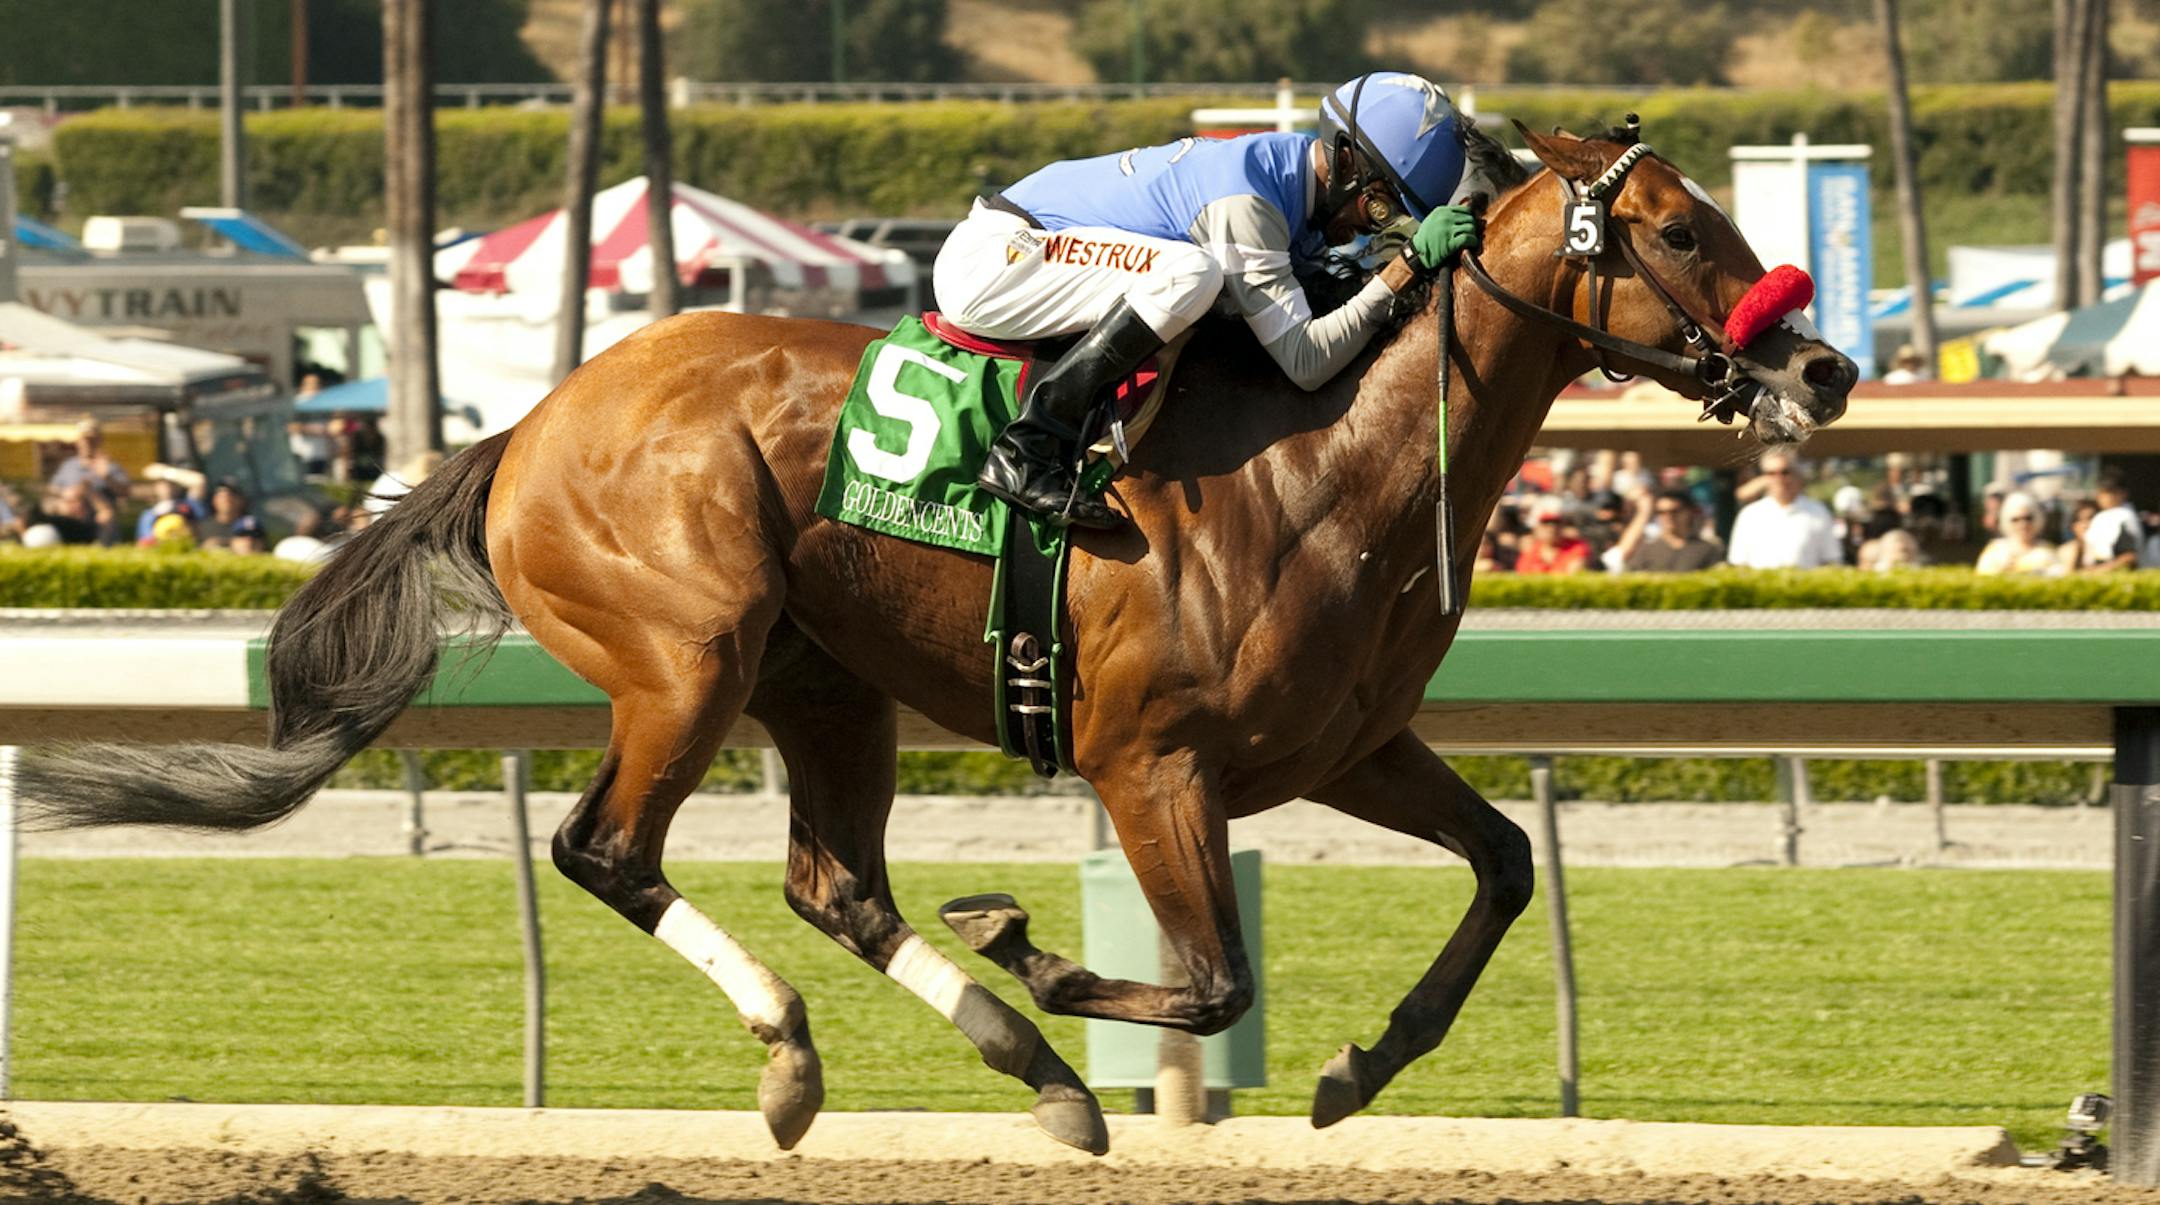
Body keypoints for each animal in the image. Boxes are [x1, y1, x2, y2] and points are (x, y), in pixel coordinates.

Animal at [16, 120, 1854, 1155]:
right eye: (1679, 230)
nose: (1826, 365)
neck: (1329, 462)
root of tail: (528, 424)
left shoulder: (1349, 748)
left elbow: (1504, 868)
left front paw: (1354, 1066)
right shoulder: (1150, 764)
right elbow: (1209, 979)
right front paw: (1030, 938)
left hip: (826, 687)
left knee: (835, 883)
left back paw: (1031, 1073)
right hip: (689, 651)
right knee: (609, 851)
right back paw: (801, 1059)